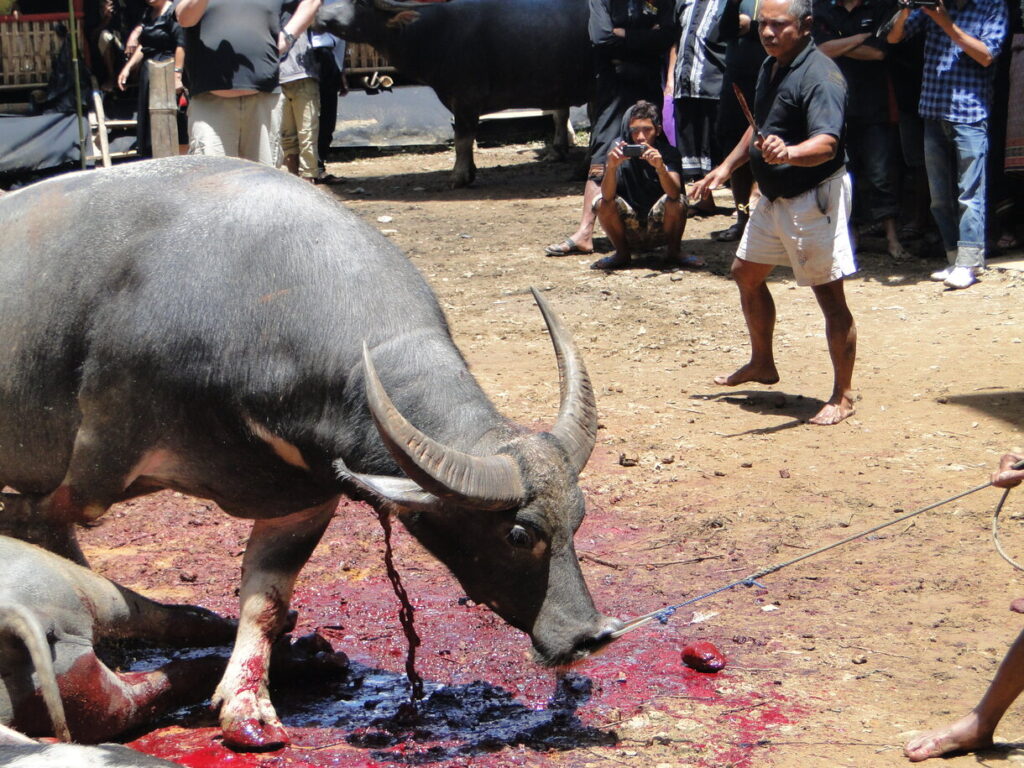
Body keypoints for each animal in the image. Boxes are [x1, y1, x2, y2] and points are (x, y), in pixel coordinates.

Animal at [0, 156, 622, 753]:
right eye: (517, 534)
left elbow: (267, 600)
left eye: (579, 518)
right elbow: (52, 535)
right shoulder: (86, 476)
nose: (589, 637)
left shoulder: (304, 499)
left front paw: (247, 705)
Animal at [319, 0, 593, 186]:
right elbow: (468, 138)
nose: (319, 15)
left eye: (361, 3)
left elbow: (462, 139)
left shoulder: (465, 97)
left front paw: (459, 177)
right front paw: (470, 171)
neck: (431, 30)